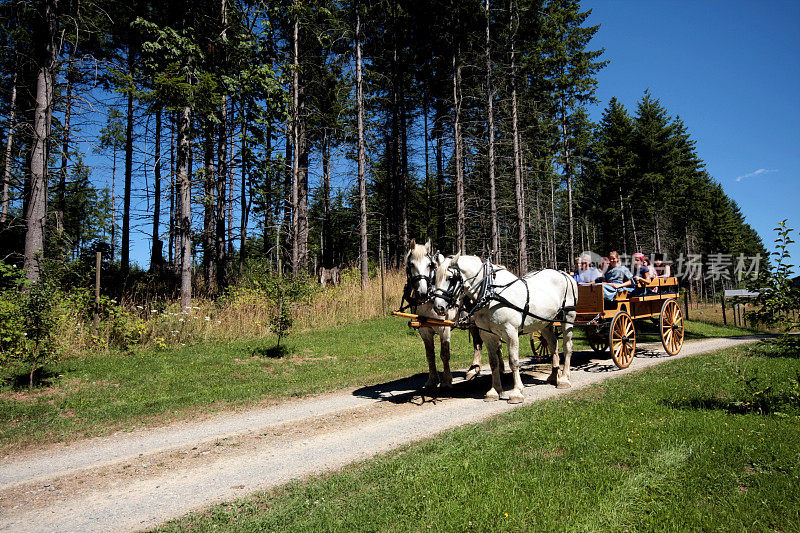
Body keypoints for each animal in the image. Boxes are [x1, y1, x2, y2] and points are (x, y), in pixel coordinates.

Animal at [406, 240, 482, 386]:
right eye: (411, 264)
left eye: (429, 265)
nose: (422, 292)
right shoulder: (425, 330)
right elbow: (430, 355)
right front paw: (432, 380)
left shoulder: (444, 328)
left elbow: (444, 354)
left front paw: (447, 380)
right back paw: (474, 369)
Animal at [432, 255, 576, 404]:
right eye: (434, 278)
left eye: (450, 278)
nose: (438, 307)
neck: (491, 293)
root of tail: (563, 273)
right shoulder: (488, 335)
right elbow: (493, 363)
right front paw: (494, 391)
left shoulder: (511, 333)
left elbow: (513, 362)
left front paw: (517, 392)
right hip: (545, 323)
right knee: (553, 345)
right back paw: (554, 376)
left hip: (568, 317)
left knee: (567, 346)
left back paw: (564, 379)